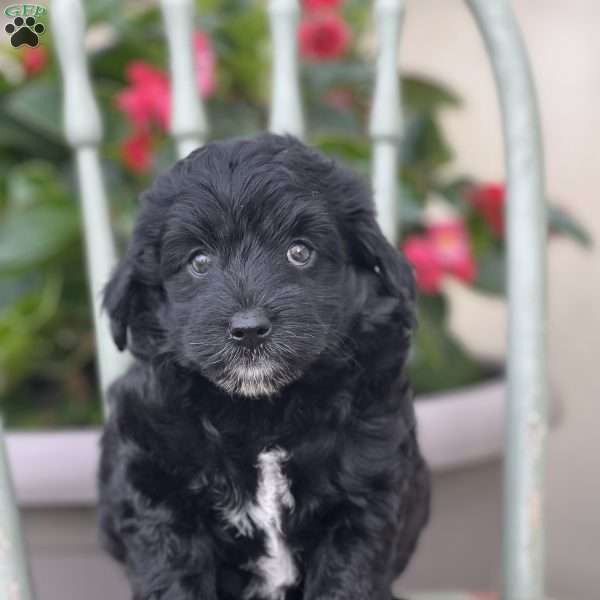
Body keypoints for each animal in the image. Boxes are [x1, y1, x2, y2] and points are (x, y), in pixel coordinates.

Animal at [98, 135, 428, 600]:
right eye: (199, 262)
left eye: (300, 252)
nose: (249, 329)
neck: (262, 414)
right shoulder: (158, 491)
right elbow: (173, 574)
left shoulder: (365, 499)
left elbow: (346, 579)